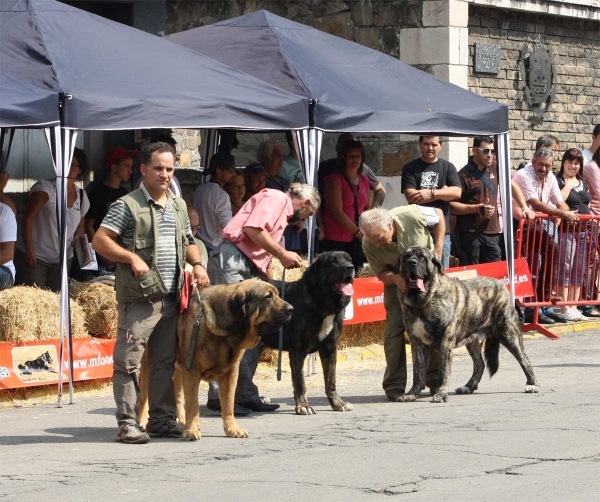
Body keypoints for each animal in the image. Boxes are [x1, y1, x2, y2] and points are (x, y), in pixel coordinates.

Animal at [138, 280, 292, 442]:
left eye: (277, 295)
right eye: (268, 297)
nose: (291, 309)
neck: (226, 330)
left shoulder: (231, 373)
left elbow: (228, 404)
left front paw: (232, 429)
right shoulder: (192, 371)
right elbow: (193, 405)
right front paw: (191, 430)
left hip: (178, 367)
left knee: (178, 394)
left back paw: (181, 420)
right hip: (149, 363)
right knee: (144, 396)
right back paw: (142, 421)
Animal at [262, 251, 356, 416]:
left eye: (349, 259)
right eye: (334, 261)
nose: (350, 267)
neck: (323, 301)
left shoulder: (329, 347)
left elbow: (331, 380)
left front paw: (337, 403)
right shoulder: (298, 350)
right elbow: (300, 381)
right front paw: (303, 406)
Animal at [396, 247, 540, 404]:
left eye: (421, 257)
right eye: (407, 256)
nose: (412, 262)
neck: (422, 301)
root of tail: (501, 284)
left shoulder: (445, 342)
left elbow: (444, 371)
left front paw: (441, 393)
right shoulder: (417, 344)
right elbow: (418, 372)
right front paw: (412, 393)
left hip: (509, 334)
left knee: (524, 359)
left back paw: (533, 384)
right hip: (473, 340)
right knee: (480, 364)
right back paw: (468, 386)